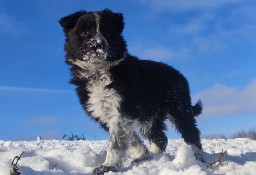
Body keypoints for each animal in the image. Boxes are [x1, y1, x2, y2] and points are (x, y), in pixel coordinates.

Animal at [59, 8, 204, 174]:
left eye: (107, 32)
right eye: (83, 33)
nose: (98, 45)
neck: (99, 71)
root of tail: (179, 75)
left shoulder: (124, 109)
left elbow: (115, 141)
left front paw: (108, 165)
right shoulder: (106, 113)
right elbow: (130, 138)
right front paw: (141, 155)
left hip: (179, 108)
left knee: (191, 132)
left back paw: (197, 156)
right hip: (150, 117)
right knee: (160, 138)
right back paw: (154, 156)